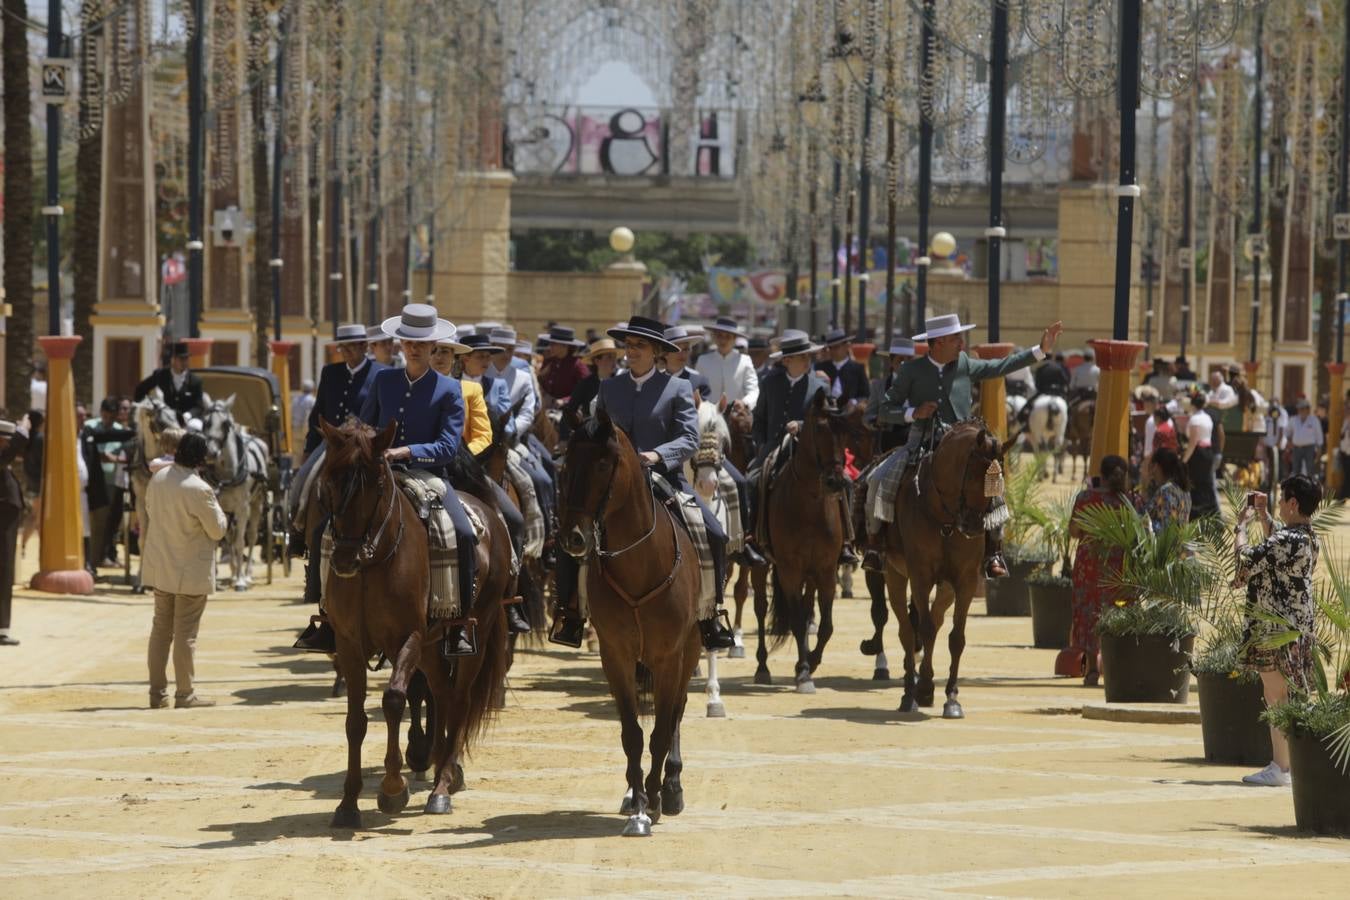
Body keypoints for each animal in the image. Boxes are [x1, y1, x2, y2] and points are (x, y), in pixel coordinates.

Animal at [201, 394, 270, 591]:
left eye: (226, 424)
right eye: (206, 422)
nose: (210, 452)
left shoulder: (242, 508)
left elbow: (240, 543)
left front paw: (240, 581)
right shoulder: (215, 507)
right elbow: (220, 540)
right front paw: (226, 577)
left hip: (256, 504)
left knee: (251, 536)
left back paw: (246, 575)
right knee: (230, 537)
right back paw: (232, 574)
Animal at [315, 418, 510, 825]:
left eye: (375, 482)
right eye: (329, 480)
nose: (344, 559)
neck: (372, 563)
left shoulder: (407, 638)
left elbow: (393, 701)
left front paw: (392, 790)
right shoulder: (349, 644)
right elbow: (355, 721)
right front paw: (348, 803)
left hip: (474, 633)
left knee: (460, 698)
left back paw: (441, 788)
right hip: (433, 646)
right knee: (443, 692)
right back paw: (441, 771)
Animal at [556, 407, 702, 836]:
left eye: (604, 463)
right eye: (566, 464)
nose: (572, 537)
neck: (641, 564)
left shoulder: (670, 658)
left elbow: (662, 730)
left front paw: (654, 800)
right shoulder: (616, 657)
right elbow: (632, 734)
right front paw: (638, 804)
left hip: (690, 652)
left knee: (677, 713)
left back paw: (672, 787)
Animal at [761, 391, 842, 696]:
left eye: (846, 430)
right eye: (819, 428)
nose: (835, 481)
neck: (809, 503)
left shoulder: (827, 570)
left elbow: (826, 626)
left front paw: (811, 662)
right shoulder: (789, 570)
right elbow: (796, 622)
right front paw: (805, 672)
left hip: (812, 574)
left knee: (808, 610)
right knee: (760, 608)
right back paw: (762, 667)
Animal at [880, 420, 1009, 717]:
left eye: (998, 483)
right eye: (972, 476)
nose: (974, 526)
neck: (945, 516)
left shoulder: (965, 581)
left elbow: (956, 638)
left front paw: (951, 698)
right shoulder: (920, 576)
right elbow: (924, 629)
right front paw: (925, 688)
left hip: (947, 586)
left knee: (936, 620)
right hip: (895, 574)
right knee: (907, 631)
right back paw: (909, 693)